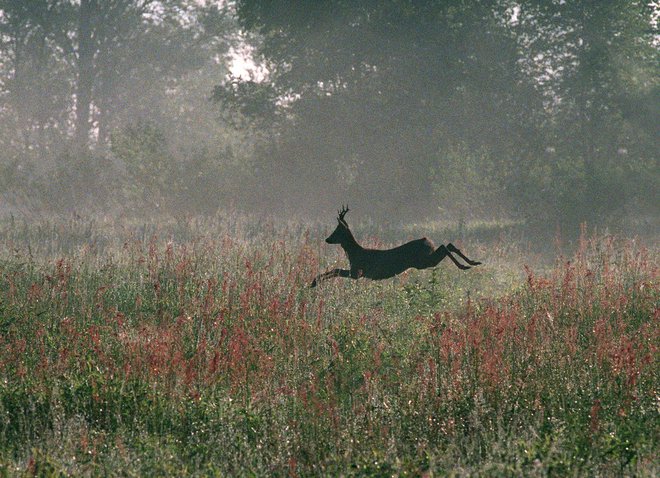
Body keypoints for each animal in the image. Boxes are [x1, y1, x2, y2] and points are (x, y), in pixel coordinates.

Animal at [310, 206, 480, 288]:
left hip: (422, 261)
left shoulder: (358, 272)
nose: (327, 239)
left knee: (445, 247)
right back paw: (472, 262)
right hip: (425, 259)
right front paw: (314, 282)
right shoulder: (357, 272)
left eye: (337, 230)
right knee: (448, 244)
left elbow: (337, 270)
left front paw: (314, 282)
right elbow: (335, 270)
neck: (354, 253)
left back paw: (465, 265)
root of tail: (427, 241)